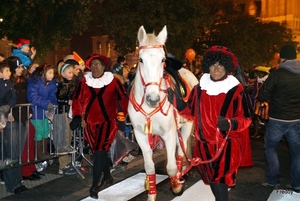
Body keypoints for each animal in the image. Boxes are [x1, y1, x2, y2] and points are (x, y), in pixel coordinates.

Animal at [127, 25, 199, 201]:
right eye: (140, 60)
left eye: (162, 60)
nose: (153, 99)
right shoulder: (140, 135)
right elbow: (149, 167)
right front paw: (151, 194)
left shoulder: (169, 133)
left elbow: (171, 167)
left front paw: (176, 186)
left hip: (186, 126)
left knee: (180, 153)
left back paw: (181, 174)